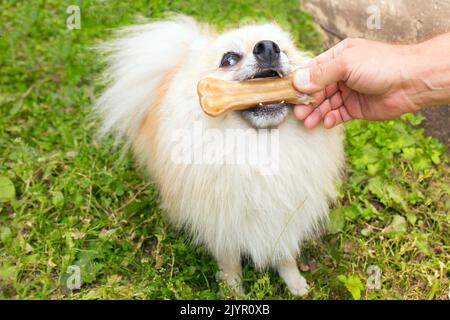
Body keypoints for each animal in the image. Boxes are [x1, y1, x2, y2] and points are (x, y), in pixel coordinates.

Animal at [96, 15, 342, 296]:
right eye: (229, 59)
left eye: (285, 51)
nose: (268, 47)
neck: (259, 151)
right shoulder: (221, 223)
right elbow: (230, 263)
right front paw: (233, 290)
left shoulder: (286, 216)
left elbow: (285, 255)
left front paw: (295, 282)